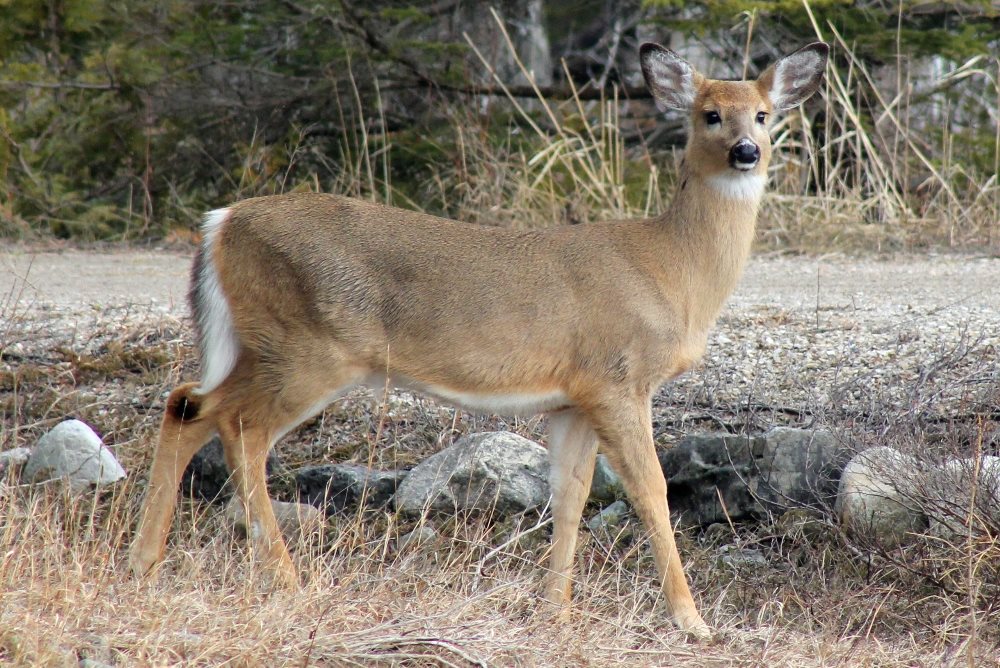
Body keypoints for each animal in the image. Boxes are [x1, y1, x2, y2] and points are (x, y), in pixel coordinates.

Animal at [129, 40, 828, 638]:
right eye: (710, 115)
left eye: (763, 114)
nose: (746, 150)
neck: (671, 271)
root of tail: (220, 224)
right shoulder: (617, 378)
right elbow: (650, 491)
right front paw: (692, 621)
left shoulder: (572, 397)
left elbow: (569, 496)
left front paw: (556, 613)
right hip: (308, 348)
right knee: (237, 426)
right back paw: (286, 582)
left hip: (265, 346)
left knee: (186, 403)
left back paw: (144, 563)